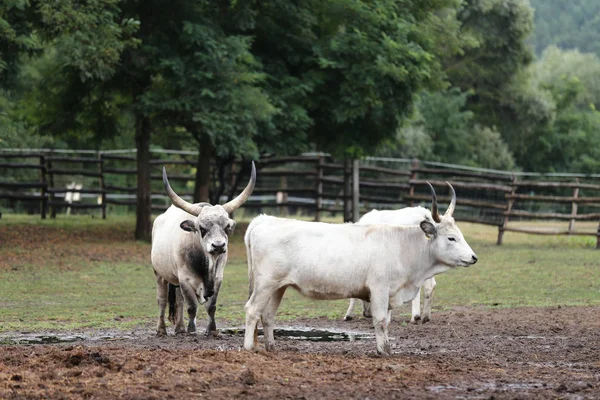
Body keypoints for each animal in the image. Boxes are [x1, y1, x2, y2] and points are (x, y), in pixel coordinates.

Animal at [244, 183, 478, 354]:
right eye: (451, 238)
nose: (474, 257)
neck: (403, 245)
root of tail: (264, 220)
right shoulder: (379, 289)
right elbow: (381, 321)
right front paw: (384, 352)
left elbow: (386, 321)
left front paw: (386, 348)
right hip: (266, 283)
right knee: (253, 310)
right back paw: (248, 348)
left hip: (278, 286)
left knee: (268, 315)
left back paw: (271, 348)